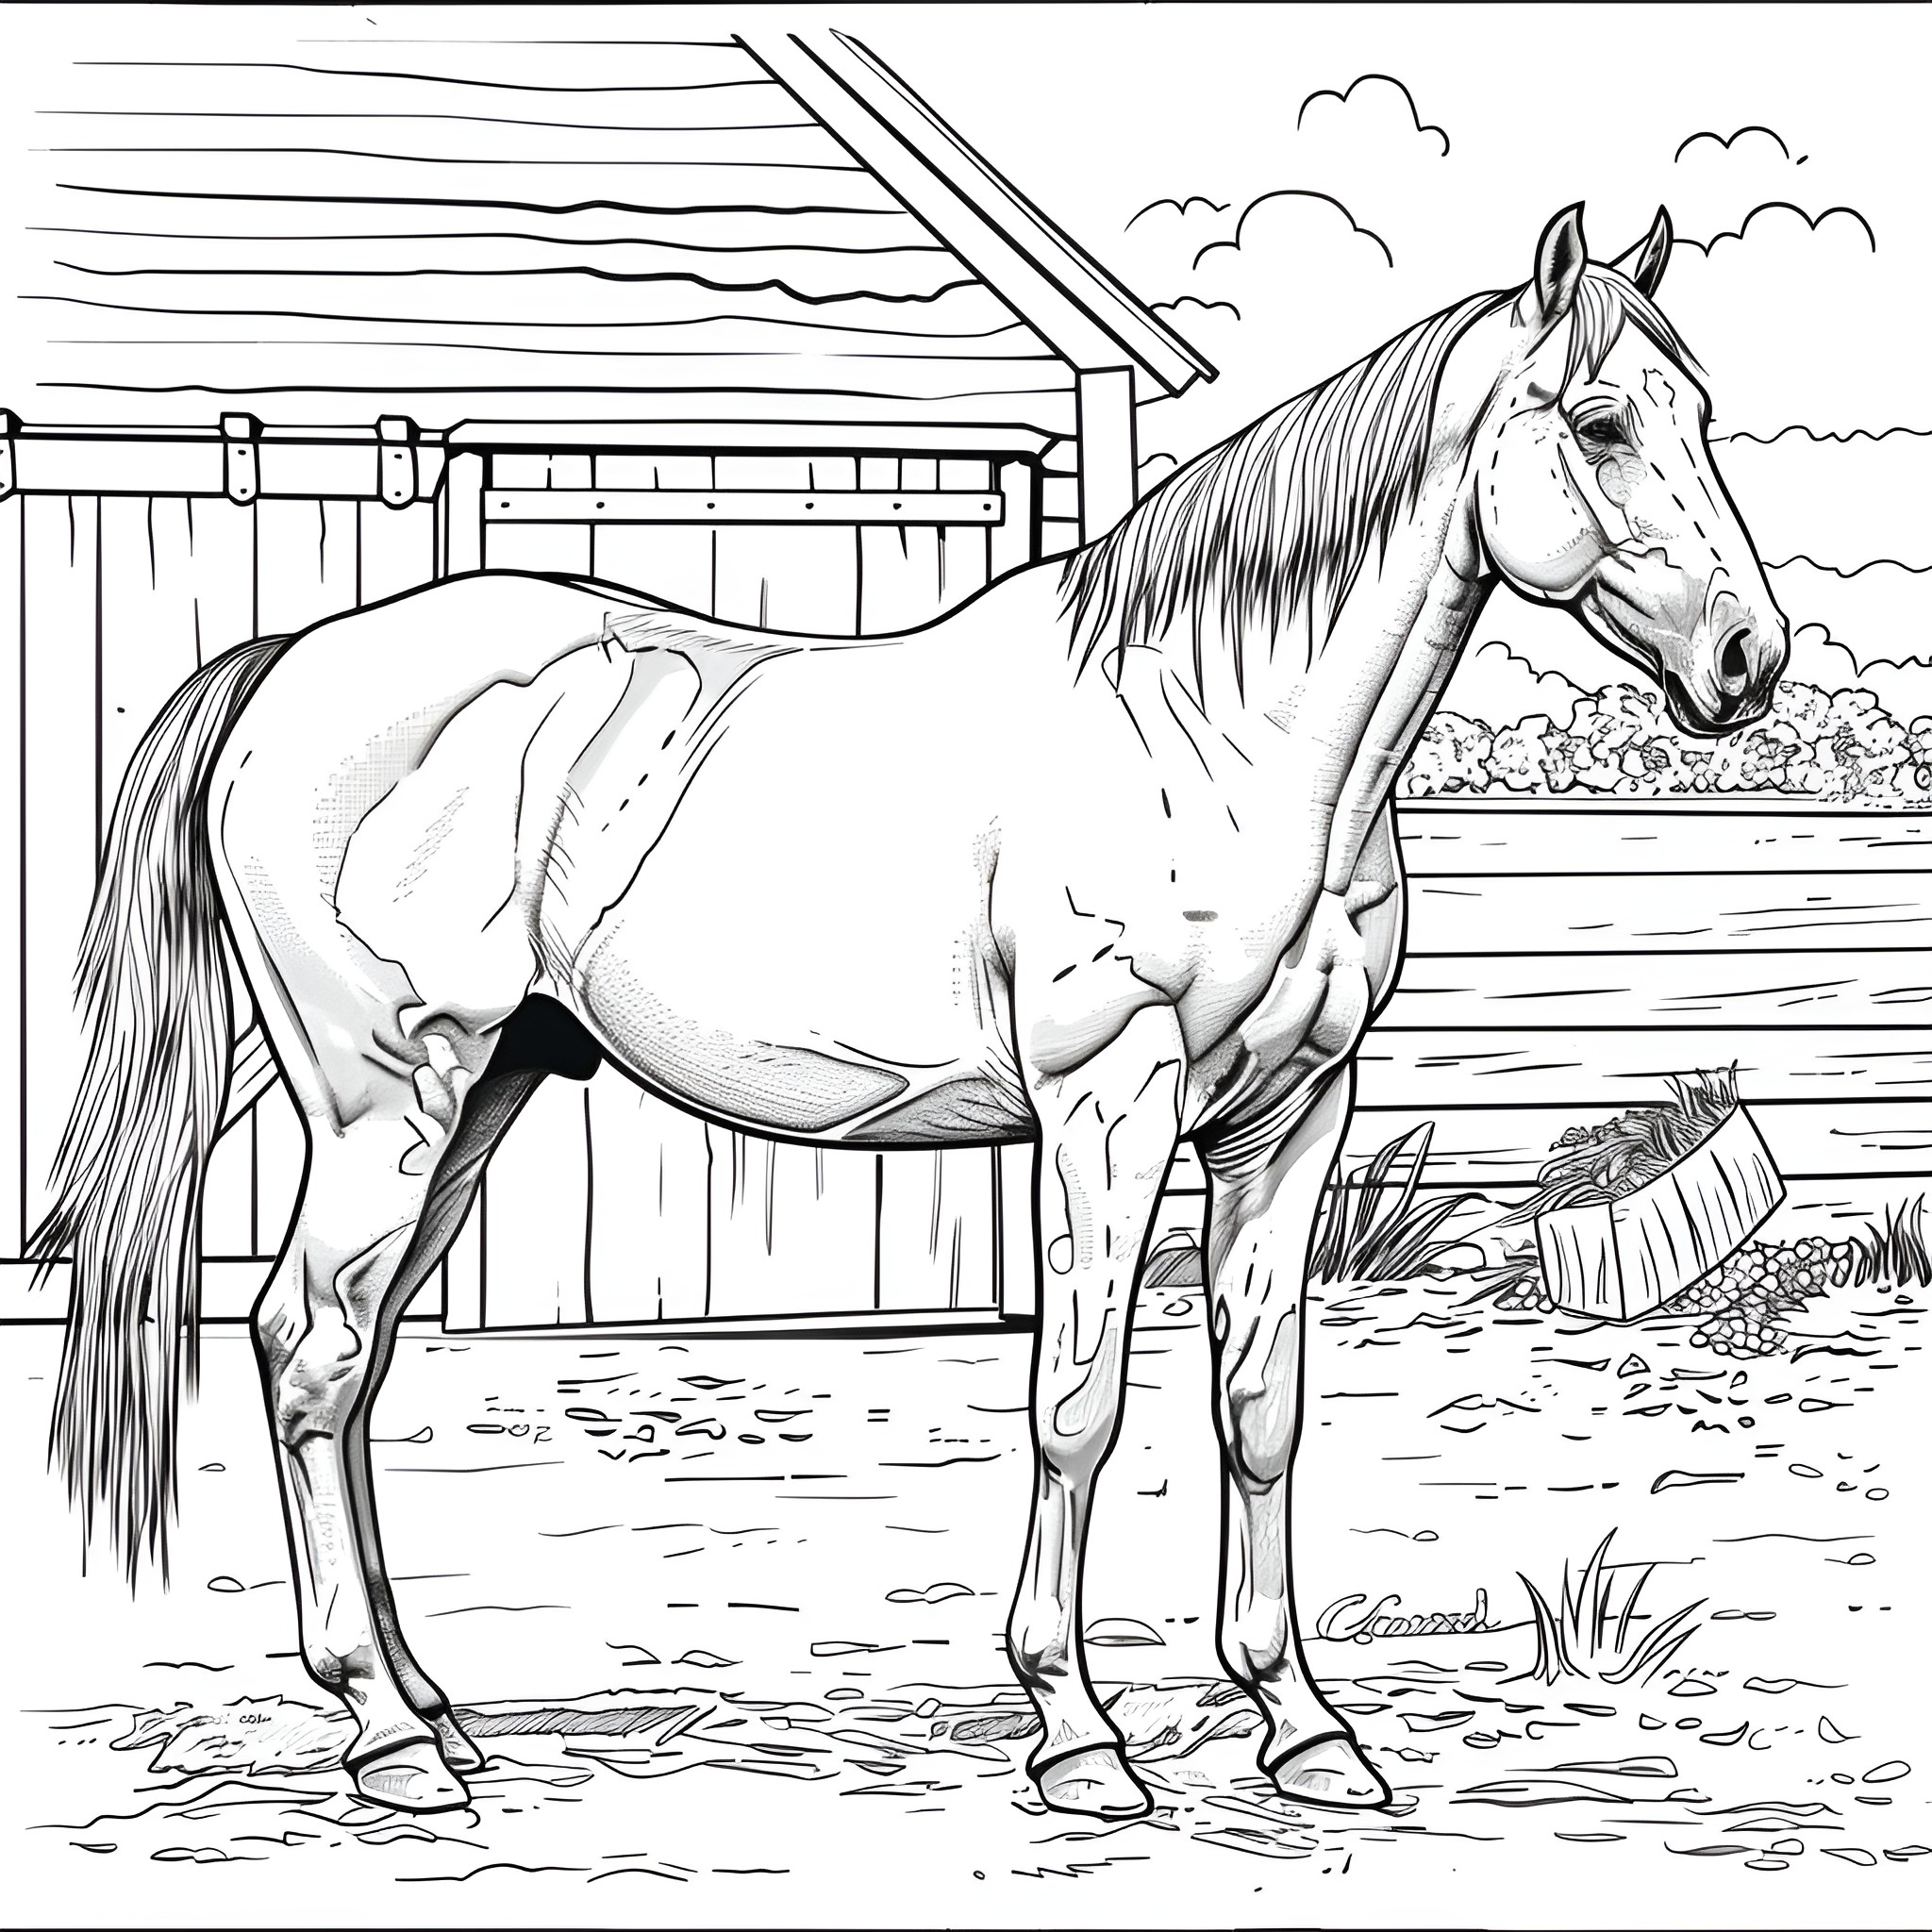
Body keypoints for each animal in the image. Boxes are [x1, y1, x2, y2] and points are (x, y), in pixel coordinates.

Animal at [35, 203, 1786, 1823]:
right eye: (1600, 421)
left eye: (1701, 412)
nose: (1748, 660)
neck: (1218, 735)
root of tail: (283, 666)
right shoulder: (1106, 1105)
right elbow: (1076, 1404)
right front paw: (1077, 1736)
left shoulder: (1290, 1117)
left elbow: (1262, 1406)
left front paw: (1301, 1729)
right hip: (382, 1093)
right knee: (310, 1347)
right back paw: (387, 1739)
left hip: (479, 1095)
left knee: (356, 1361)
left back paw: (432, 1709)